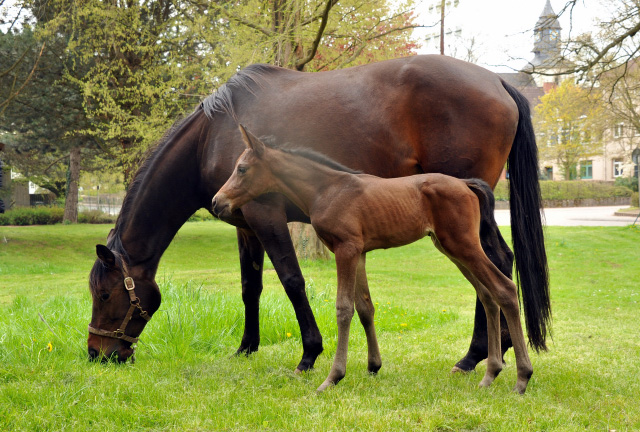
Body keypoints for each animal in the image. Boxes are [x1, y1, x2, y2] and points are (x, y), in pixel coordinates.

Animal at [214, 125, 536, 394]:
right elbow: (365, 307)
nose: (218, 202)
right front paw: (373, 366)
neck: (327, 189)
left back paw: (522, 377)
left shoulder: (345, 249)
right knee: (487, 295)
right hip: (453, 249)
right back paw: (490, 374)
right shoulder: (360, 254)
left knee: (505, 289)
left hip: (464, 246)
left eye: (241, 168)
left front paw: (333, 377)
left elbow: (344, 308)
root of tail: (466, 184)